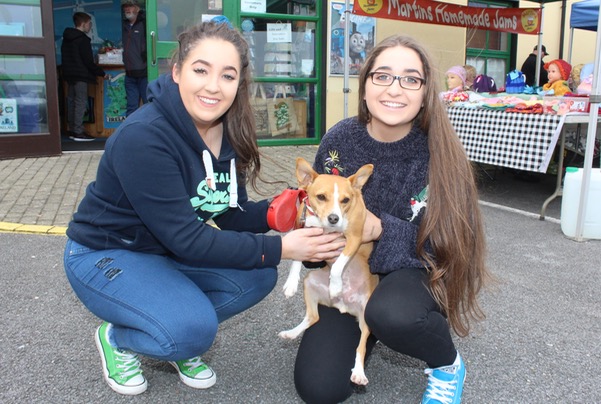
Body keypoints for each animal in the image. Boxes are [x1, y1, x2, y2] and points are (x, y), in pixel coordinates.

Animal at [278, 157, 378, 386]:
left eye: (346, 200)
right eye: (321, 197)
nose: (334, 218)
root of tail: (344, 306)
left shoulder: (354, 239)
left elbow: (340, 264)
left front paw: (336, 285)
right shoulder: (303, 232)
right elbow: (297, 259)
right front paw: (291, 283)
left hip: (366, 317)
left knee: (361, 346)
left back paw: (359, 373)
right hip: (310, 281)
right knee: (313, 317)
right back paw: (291, 333)